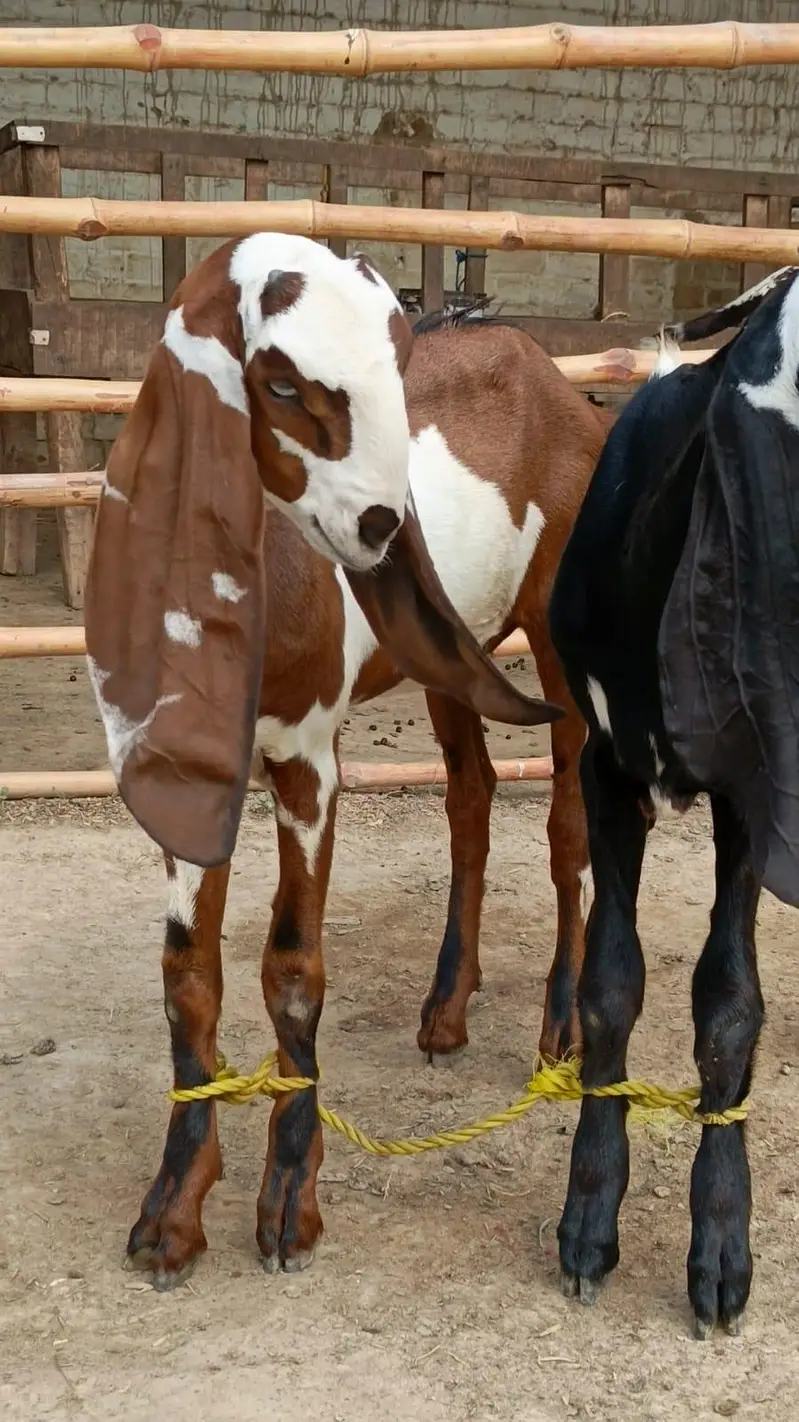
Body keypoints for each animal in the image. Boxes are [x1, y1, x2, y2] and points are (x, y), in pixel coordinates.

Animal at [84, 238, 565, 1289]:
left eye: (395, 367)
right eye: (279, 384)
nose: (383, 525)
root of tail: (542, 369)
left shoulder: (308, 759)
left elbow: (293, 965)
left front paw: (287, 1212)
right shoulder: (189, 779)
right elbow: (187, 975)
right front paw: (171, 1213)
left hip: (555, 631)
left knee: (571, 828)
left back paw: (566, 1036)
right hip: (450, 659)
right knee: (470, 799)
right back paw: (445, 1014)